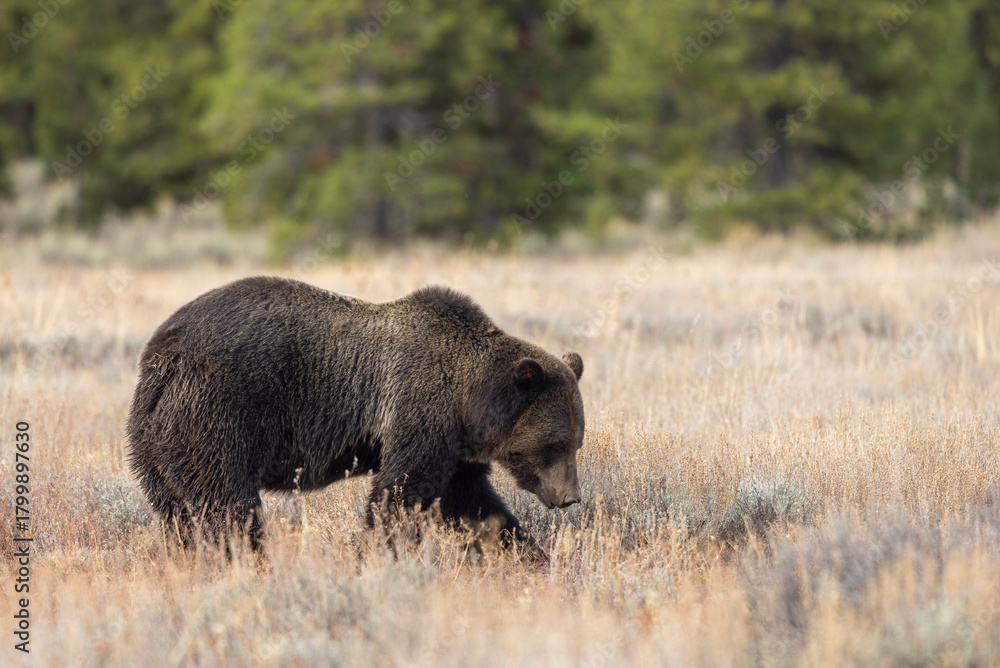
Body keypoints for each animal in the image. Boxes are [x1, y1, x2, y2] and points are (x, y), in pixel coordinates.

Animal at [125, 276, 585, 557]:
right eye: (556, 444)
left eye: (577, 442)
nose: (570, 497)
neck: (465, 399)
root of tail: (161, 357)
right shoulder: (419, 409)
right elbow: (400, 495)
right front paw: (376, 554)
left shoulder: (455, 448)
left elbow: (472, 503)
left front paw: (527, 555)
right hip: (217, 414)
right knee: (227, 506)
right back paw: (249, 559)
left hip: (155, 442)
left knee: (178, 511)